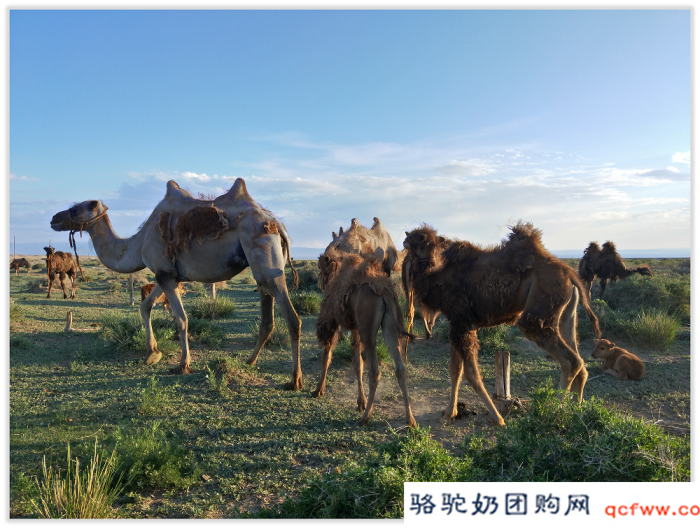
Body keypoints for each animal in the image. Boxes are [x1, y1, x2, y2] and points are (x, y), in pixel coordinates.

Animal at [314, 250, 416, 426]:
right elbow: (357, 363)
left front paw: (318, 390)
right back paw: (410, 419)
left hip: (368, 330)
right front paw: (360, 402)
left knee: (375, 371)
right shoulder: (355, 327)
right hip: (389, 326)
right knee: (401, 368)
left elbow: (326, 356)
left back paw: (365, 417)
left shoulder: (332, 322)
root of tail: (384, 293)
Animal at [402, 222, 600, 424]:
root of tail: (569, 274)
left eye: (422, 239)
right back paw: (576, 409)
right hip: (566, 316)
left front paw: (498, 419)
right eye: (414, 236)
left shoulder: (462, 323)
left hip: (538, 313)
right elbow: (455, 370)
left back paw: (553, 412)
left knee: (571, 361)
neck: (437, 280)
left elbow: (471, 374)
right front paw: (450, 413)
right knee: (581, 363)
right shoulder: (457, 324)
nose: (405, 240)